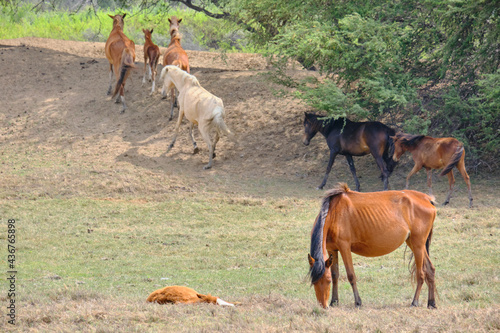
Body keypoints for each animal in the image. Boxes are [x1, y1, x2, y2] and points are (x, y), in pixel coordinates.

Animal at [308, 183, 438, 308]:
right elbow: (335, 275)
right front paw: (334, 301)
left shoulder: (344, 248)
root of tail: (427, 199)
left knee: (421, 274)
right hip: (414, 244)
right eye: (313, 281)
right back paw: (431, 303)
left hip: (418, 244)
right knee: (430, 269)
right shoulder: (332, 249)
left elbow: (351, 275)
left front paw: (358, 302)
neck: (334, 213)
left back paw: (414, 302)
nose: (323, 306)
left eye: (327, 281)